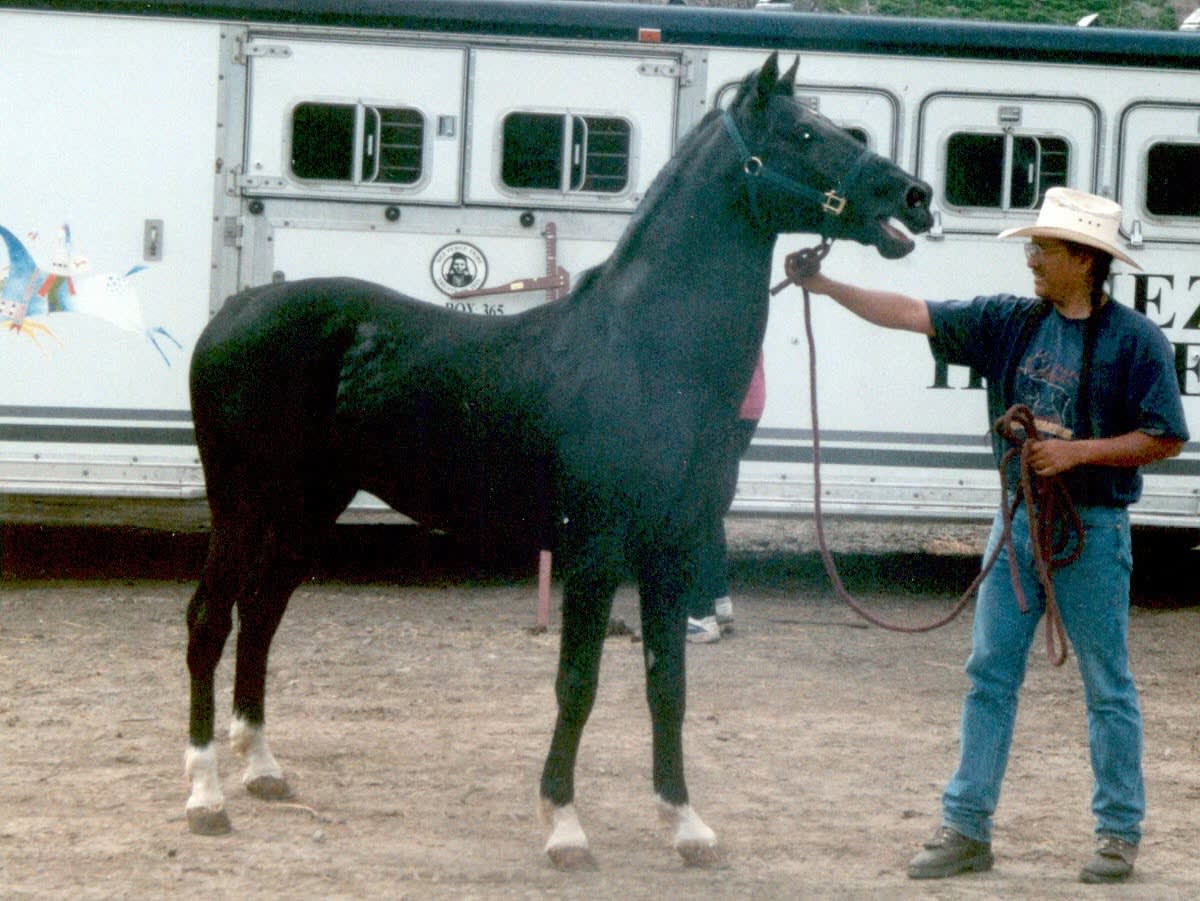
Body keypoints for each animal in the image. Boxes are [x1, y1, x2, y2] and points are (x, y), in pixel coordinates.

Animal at [183, 53, 933, 865]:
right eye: (804, 133)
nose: (916, 197)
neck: (644, 355)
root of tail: (233, 313)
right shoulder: (596, 550)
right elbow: (578, 681)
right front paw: (564, 825)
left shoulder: (672, 548)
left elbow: (668, 684)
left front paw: (684, 822)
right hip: (240, 504)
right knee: (210, 621)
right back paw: (205, 795)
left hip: (310, 505)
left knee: (261, 612)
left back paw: (262, 767)